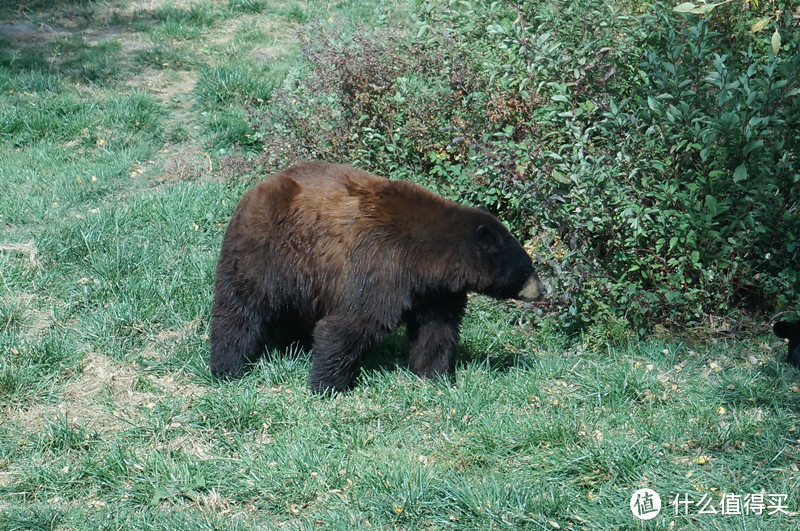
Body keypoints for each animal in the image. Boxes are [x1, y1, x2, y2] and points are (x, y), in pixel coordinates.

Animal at [208, 162, 544, 394]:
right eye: (527, 267)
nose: (541, 290)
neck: (427, 259)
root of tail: (257, 187)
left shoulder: (435, 292)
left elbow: (437, 331)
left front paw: (435, 377)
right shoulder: (380, 267)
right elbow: (351, 323)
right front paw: (326, 386)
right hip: (264, 251)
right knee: (239, 308)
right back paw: (227, 367)